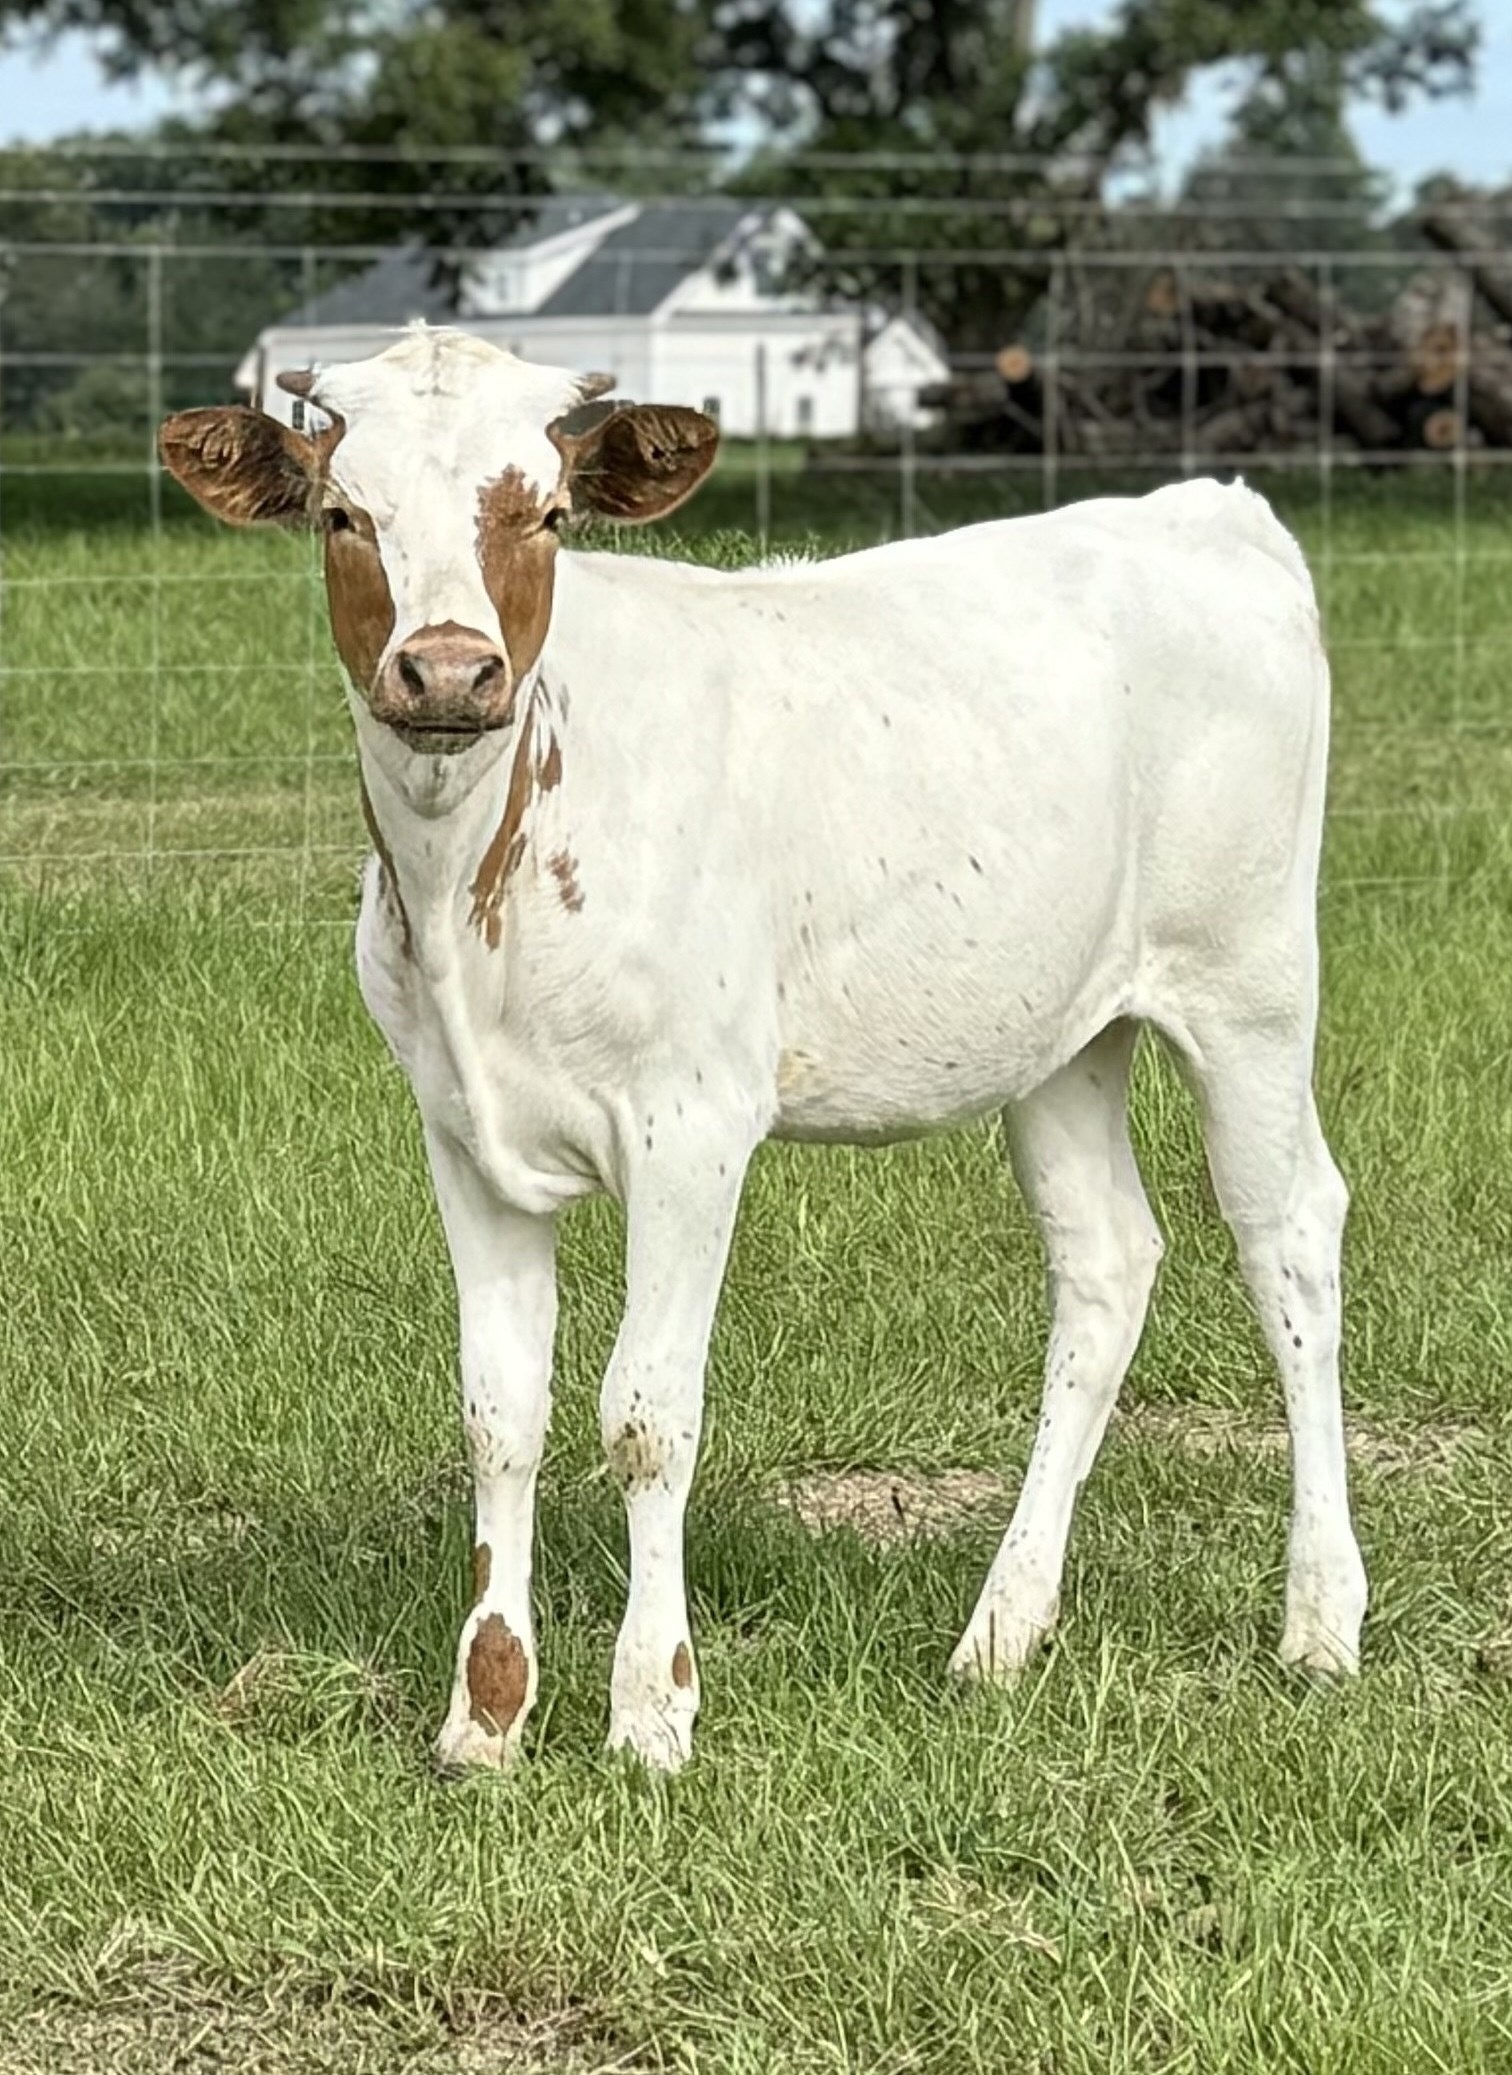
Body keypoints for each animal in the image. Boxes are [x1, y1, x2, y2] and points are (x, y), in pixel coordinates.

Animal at [158, 323, 1367, 1773]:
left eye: (545, 514)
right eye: (345, 516)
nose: (449, 670)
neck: (469, 893)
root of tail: (1209, 508)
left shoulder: (693, 1124)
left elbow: (645, 1415)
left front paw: (650, 1711)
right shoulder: (460, 1127)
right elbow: (499, 1412)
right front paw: (487, 1715)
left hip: (1249, 981)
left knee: (1289, 1237)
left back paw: (1321, 1622)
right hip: (1061, 1033)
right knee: (1108, 1261)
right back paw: (1001, 1630)